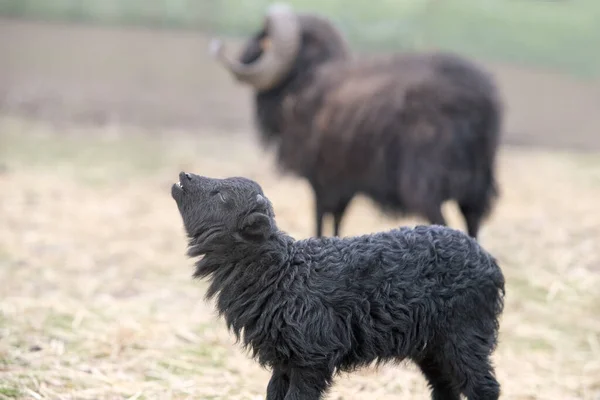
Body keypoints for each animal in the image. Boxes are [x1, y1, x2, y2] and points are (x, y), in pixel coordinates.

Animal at [171, 171, 504, 400]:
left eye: (221, 196)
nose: (184, 177)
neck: (281, 274)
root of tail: (488, 260)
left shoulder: (311, 356)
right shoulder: (283, 357)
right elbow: (273, 394)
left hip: (465, 333)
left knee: (484, 387)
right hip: (432, 345)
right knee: (446, 388)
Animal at [210, 3, 502, 239]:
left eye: (262, 37)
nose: (239, 54)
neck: (306, 77)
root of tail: (482, 101)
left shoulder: (321, 176)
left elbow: (320, 216)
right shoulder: (345, 180)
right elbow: (338, 218)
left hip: (427, 184)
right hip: (476, 189)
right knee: (473, 225)